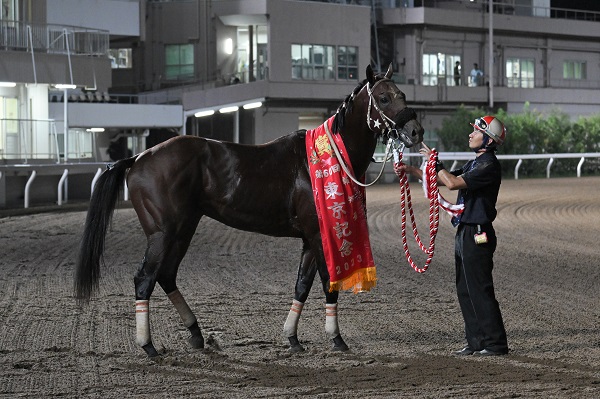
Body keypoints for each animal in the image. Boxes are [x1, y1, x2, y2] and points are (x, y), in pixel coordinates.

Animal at [75, 64, 424, 358]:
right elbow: (328, 284)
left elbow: (302, 285)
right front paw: (337, 339)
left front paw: (292, 338)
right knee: (144, 279)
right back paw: (148, 346)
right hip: (163, 233)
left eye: (404, 95)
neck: (326, 158)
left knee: (166, 275)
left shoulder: (308, 239)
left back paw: (196, 334)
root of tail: (137, 159)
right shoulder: (318, 234)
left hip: (184, 229)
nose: (416, 131)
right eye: (383, 97)